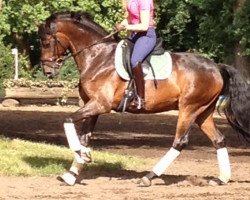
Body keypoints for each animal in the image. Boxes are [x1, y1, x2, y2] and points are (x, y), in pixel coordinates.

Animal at [37, 10, 250, 186]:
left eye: (46, 43)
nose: (47, 71)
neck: (97, 57)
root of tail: (216, 67)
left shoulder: (100, 104)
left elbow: (67, 120)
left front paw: (81, 155)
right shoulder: (93, 107)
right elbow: (84, 138)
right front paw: (73, 173)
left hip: (189, 108)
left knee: (179, 142)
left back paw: (149, 177)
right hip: (202, 112)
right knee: (218, 139)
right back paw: (221, 179)